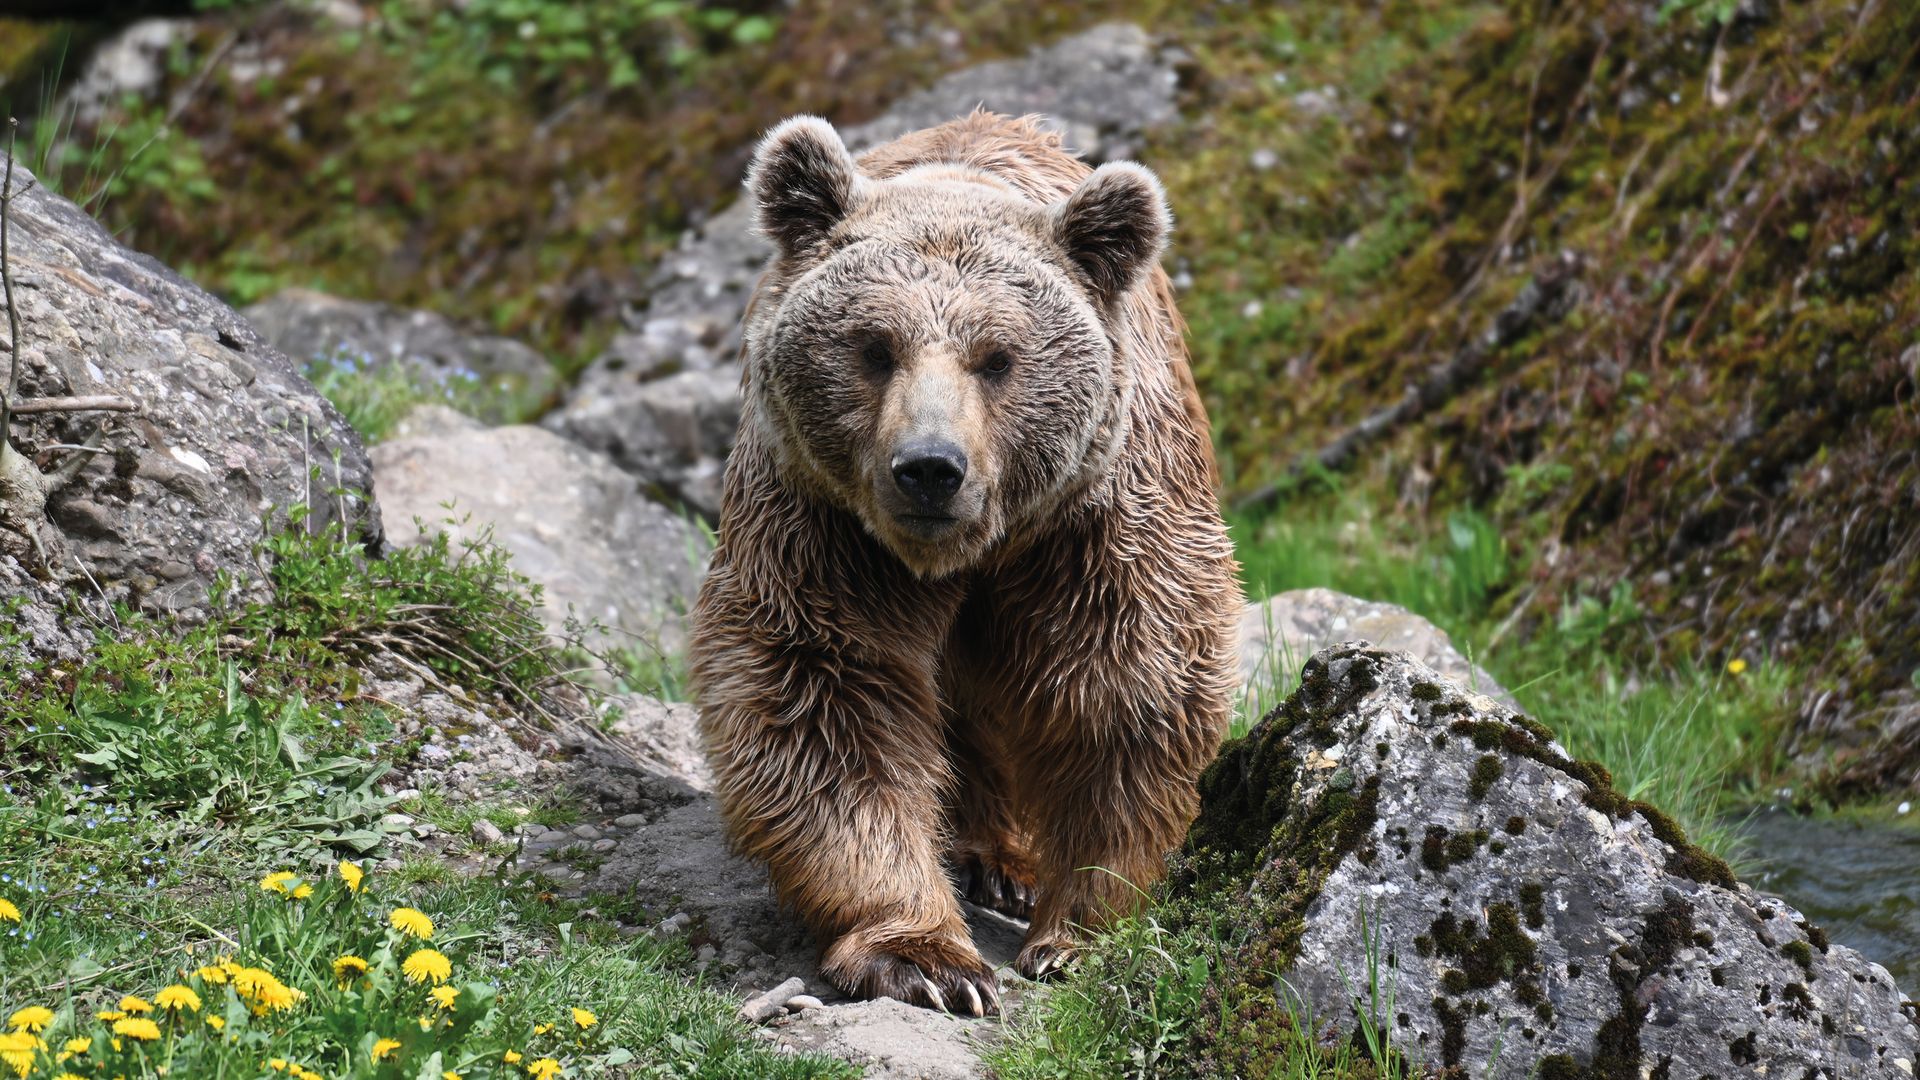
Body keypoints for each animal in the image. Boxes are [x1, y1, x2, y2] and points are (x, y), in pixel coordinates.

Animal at [688, 110, 1240, 1015]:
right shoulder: (825, 526)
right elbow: (827, 698)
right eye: (875, 348)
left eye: (998, 358)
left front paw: (1078, 934)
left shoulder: (1099, 527)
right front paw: (927, 958)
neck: (973, 550)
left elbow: (1127, 695)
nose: (928, 467)